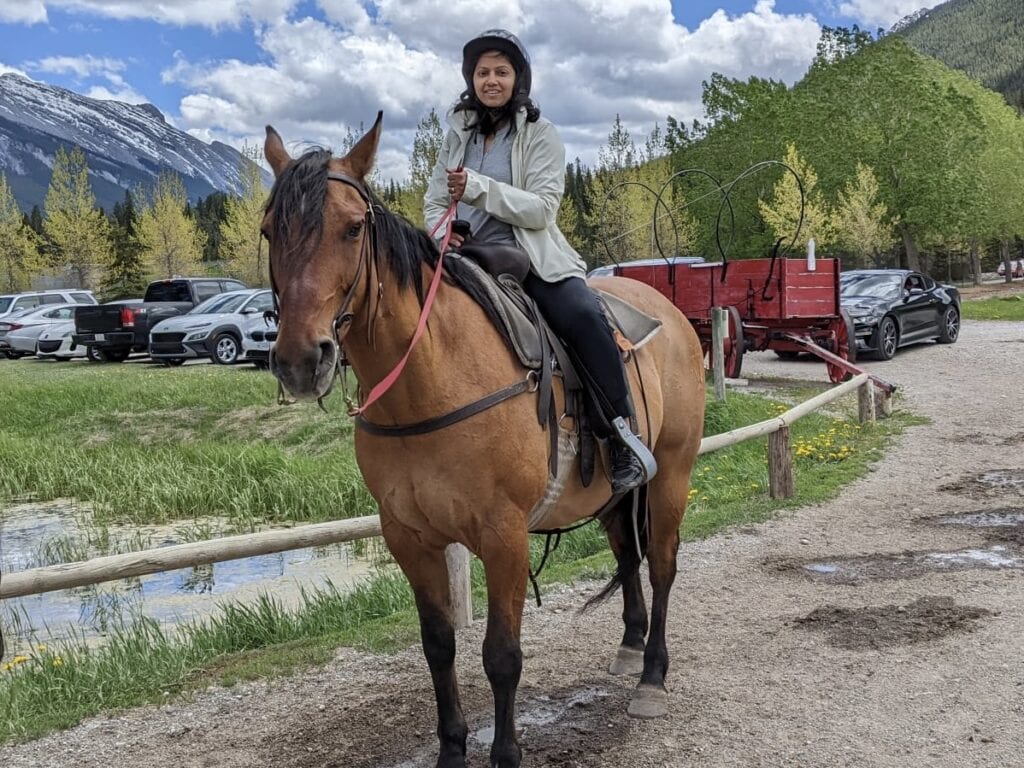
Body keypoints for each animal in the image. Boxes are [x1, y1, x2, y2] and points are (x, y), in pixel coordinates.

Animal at [262, 114, 705, 768]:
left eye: (351, 227)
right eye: (270, 231)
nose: (299, 360)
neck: (429, 381)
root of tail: (670, 314)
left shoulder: (503, 536)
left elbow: (501, 655)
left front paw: (505, 753)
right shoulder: (409, 537)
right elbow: (438, 645)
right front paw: (451, 750)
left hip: (672, 472)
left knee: (664, 564)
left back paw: (651, 676)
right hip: (613, 494)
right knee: (628, 555)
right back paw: (629, 648)